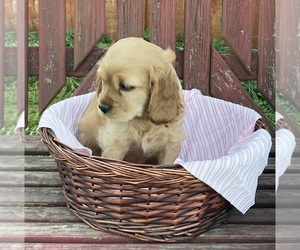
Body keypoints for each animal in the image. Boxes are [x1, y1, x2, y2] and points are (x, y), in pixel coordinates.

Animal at [77, 37, 185, 165]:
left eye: (125, 86)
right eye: (103, 81)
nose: (102, 107)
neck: (143, 120)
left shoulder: (171, 142)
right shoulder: (115, 142)